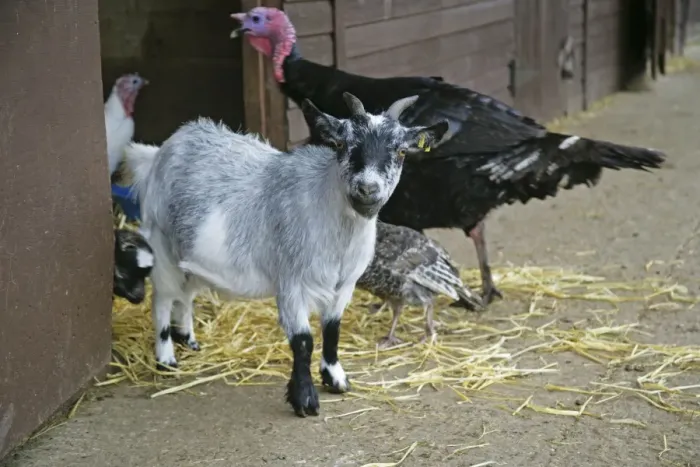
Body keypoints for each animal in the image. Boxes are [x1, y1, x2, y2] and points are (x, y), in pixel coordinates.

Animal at [124, 93, 448, 417]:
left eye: (401, 151)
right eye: (342, 144)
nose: (367, 188)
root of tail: (159, 153)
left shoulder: (344, 285)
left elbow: (332, 330)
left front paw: (336, 379)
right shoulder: (291, 282)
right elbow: (303, 341)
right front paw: (305, 400)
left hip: (189, 253)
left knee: (185, 294)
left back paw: (189, 340)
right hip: (161, 243)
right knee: (163, 299)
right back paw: (166, 358)